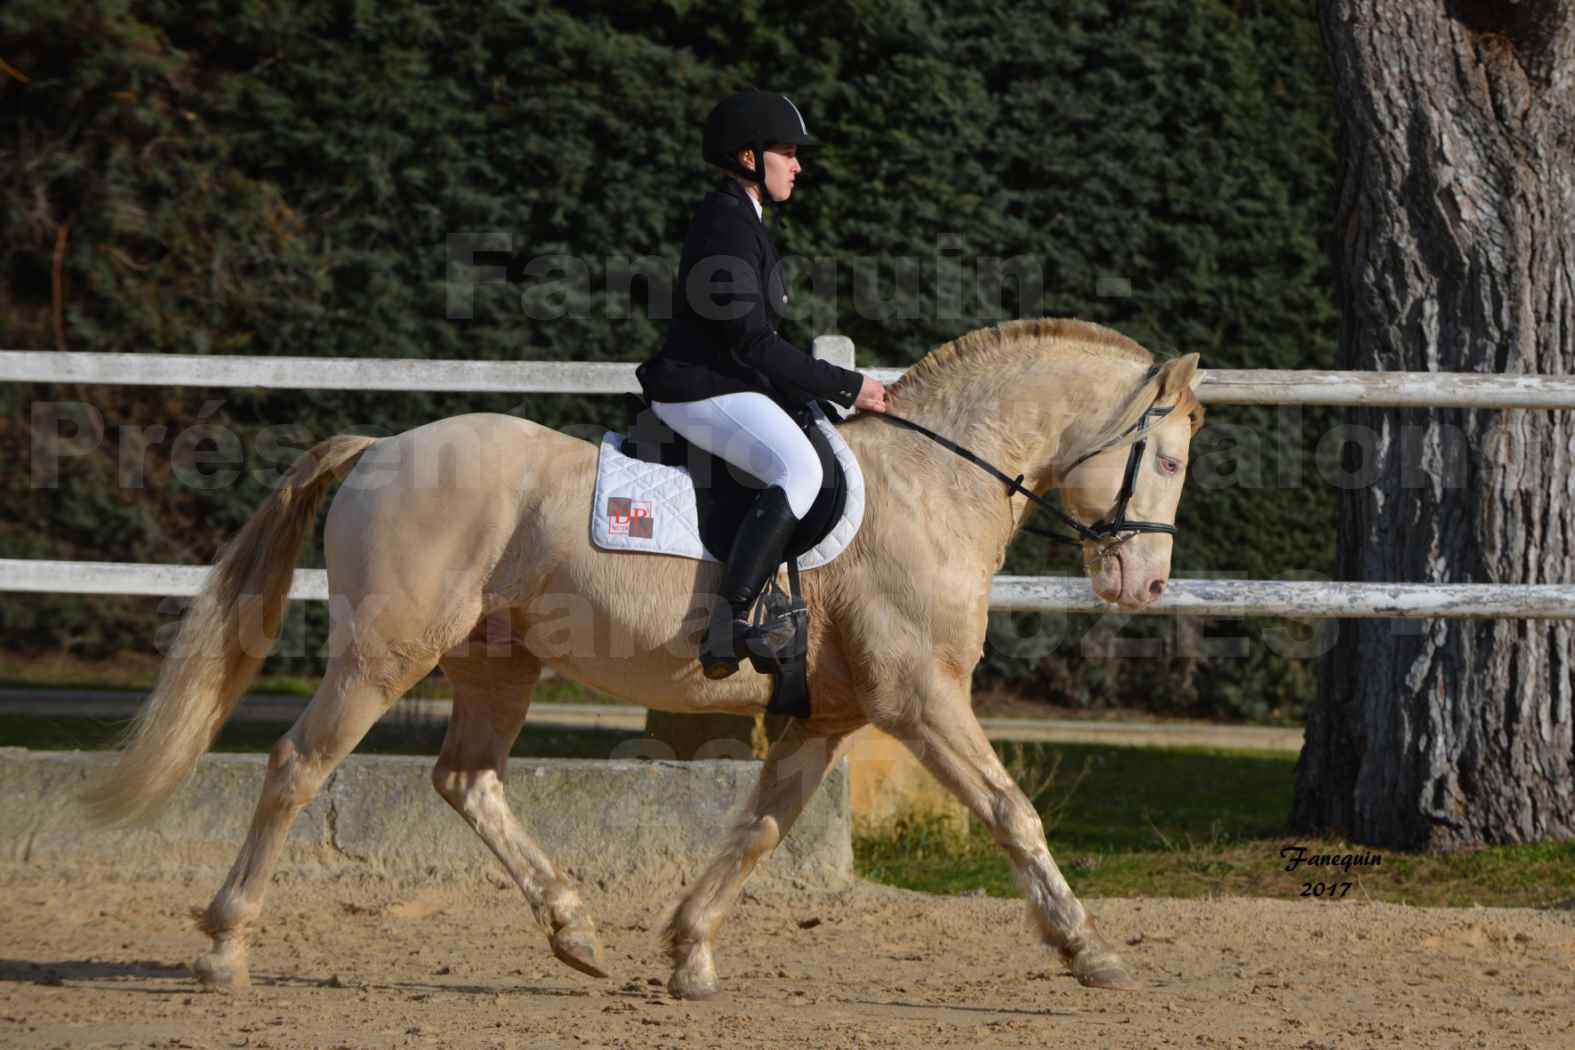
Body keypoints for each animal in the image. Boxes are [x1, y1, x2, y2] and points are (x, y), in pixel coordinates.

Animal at [83, 317, 1203, 1001]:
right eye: (1168, 455)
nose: (1143, 586)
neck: (932, 487)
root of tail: (380, 447)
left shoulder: (829, 715)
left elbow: (757, 831)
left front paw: (687, 954)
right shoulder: (918, 699)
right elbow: (1011, 811)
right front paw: (1090, 950)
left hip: (496, 664)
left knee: (466, 779)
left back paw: (574, 931)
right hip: (381, 657)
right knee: (297, 768)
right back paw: (224, 946)